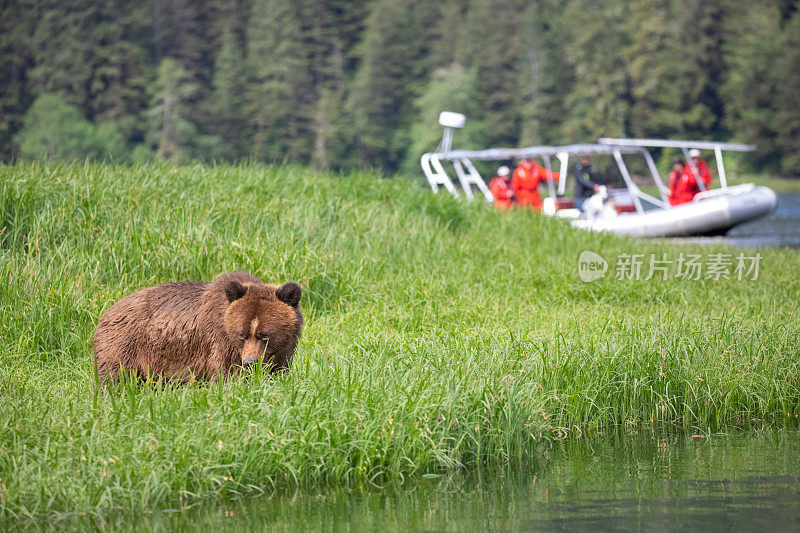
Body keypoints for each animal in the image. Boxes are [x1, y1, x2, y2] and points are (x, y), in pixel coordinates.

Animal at [93, 272, 304, 380]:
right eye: (241, 334)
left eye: (265, 335)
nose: (250, 362)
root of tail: (106, 312)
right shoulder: (220, 348)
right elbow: (225, 378)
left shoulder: (283, 352)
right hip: (125, 347)